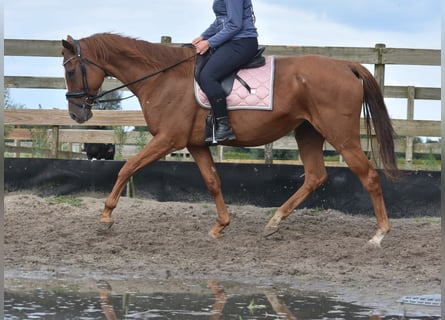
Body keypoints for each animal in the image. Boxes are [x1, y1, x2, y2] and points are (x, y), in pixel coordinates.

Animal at [60, 33, 398, 248]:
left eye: (73, 69)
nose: (76, 114)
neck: (163, 78)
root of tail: (346, 65)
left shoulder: (168, 139)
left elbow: (127, 167)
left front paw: (106, 217)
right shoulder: (195, 144)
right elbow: (212, 181)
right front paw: (220, 227)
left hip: (341, 135)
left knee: (368, 176)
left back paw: (379, 235)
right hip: (308, 132)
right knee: (315, 176)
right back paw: (274, 223)